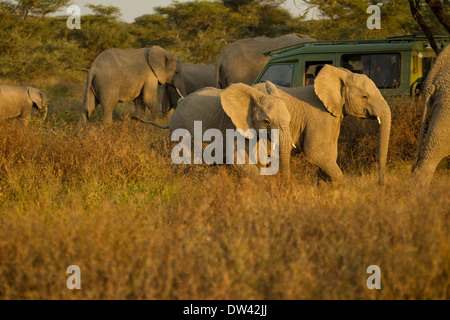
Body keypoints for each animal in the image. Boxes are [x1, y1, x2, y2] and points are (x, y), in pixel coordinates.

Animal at [136, 64, 390, 185]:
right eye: (365, 97)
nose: (381, 183)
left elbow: (328, 154)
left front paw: (326, 188)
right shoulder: (320, 116)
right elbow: (316, 153)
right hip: (184, 131)